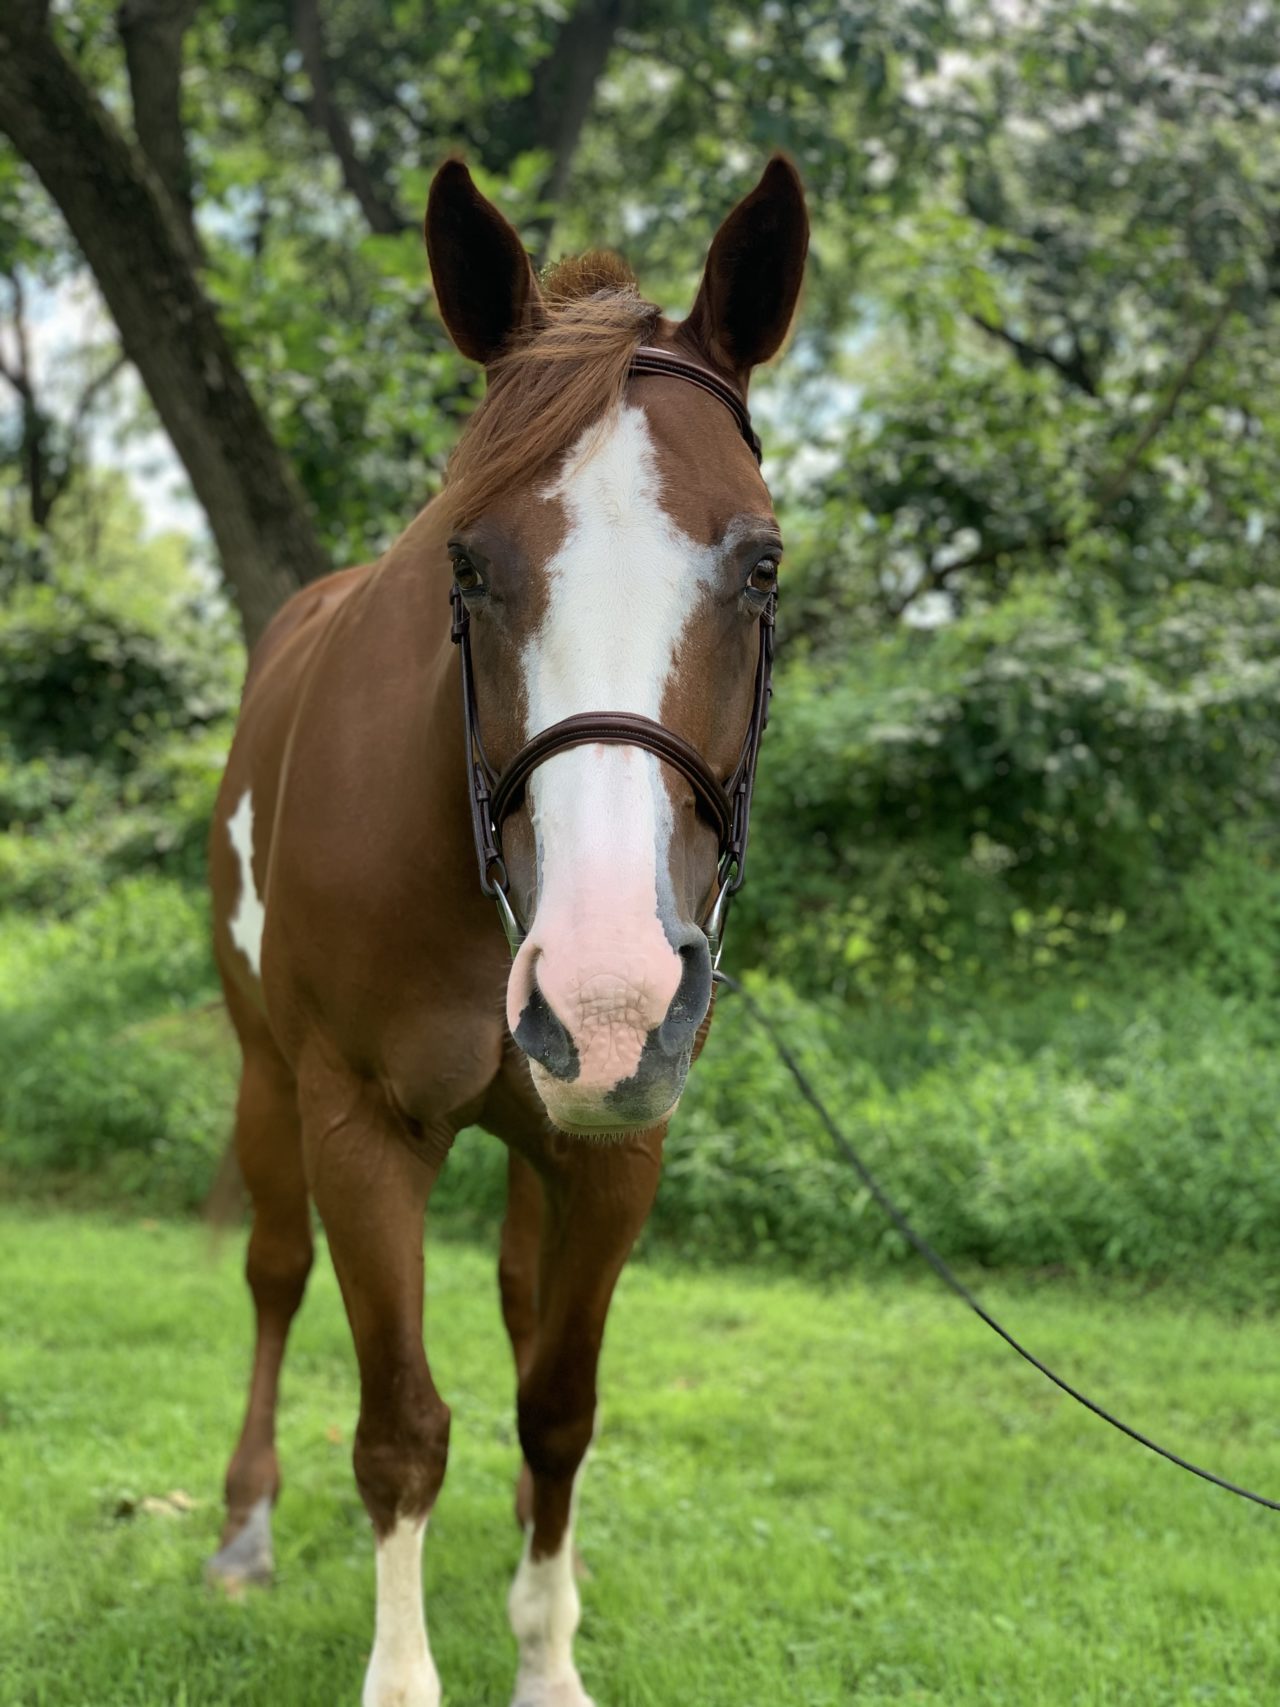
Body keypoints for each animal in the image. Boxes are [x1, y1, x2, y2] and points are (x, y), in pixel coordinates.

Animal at [210, 153, 812, 1700]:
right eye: (470, 566)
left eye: (761, 567)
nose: (605, 996)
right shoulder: (356, 1122)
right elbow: (398, 1429)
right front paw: (404, 1670)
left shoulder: (614, 1147)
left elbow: (556, 1403)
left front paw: (547, 1651)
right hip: (263, 1075)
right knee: (273, 1275)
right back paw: (242, 1525)